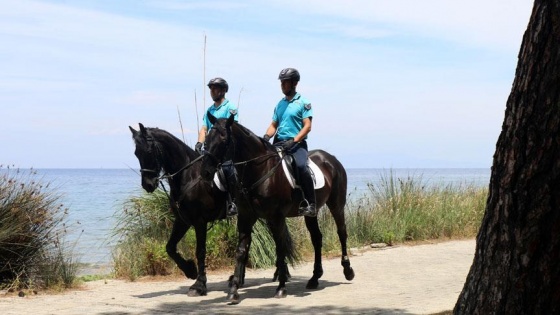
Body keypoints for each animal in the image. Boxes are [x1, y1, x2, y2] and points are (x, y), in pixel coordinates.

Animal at [129, 124, 232, 298]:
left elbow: (200, 251)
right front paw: (190, 270)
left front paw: (199, 285)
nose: (148, 185)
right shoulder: (182, 221)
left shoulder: (199, 222)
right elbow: (170, 247)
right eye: (136, 153)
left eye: (149, 151)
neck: (188, 175)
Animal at [201, 114, 354, 304]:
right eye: (207, 138)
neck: (259, 170)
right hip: (311, 213)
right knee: (317, 238)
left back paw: (348, 271)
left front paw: (281, 287)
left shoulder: (276, 217)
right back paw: (314, 278)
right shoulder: (246, 216)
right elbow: (241, 251)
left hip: (336, 204)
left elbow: (280, 248)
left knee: (342, 232)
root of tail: (331, 159)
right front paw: (234, 290)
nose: (205, 172)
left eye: (223, 139)